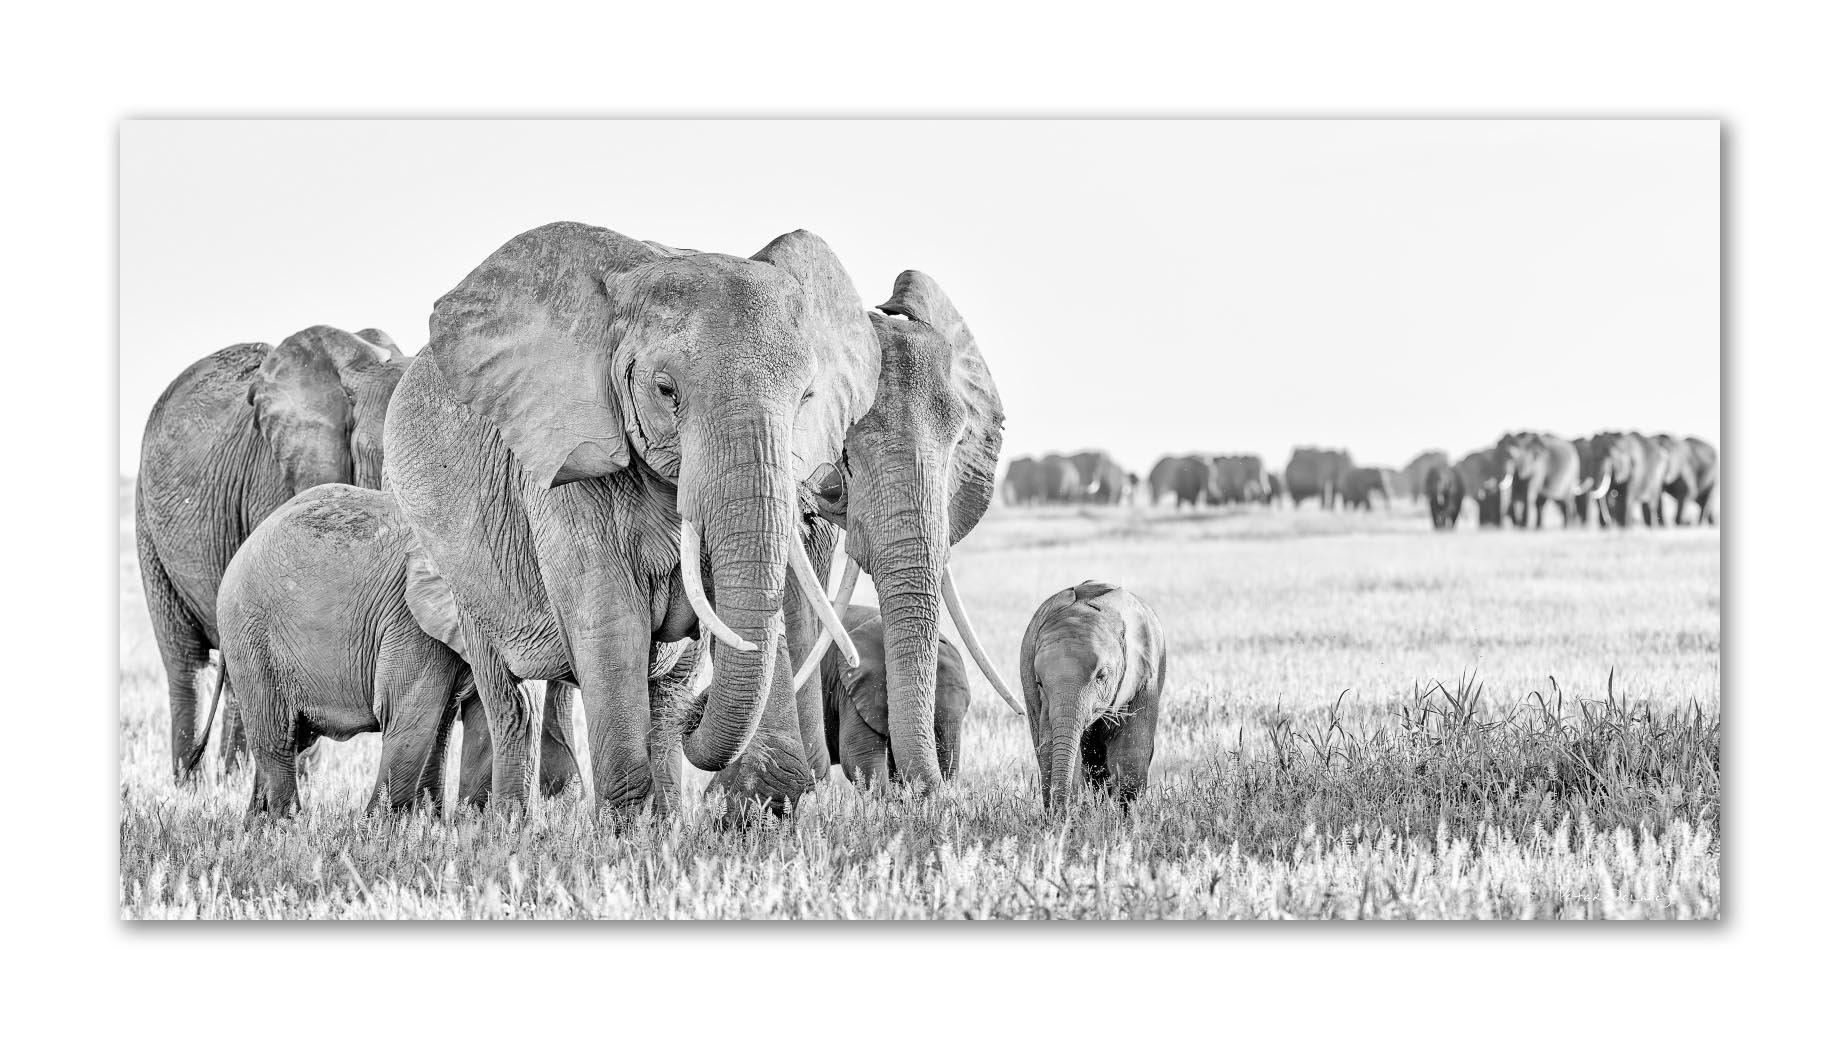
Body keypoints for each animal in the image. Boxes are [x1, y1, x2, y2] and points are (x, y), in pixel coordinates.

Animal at [382, 222, 879, 818]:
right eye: (666, 390)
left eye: (807, 397)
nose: (699, 717)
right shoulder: (566, 454)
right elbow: (610, 617)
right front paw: (627, 824)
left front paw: (759, 798)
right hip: (463, 577)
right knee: (512, 699)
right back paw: (510, 823)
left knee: (663, 696)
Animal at [1020, 581, 1166, 811]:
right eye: (1039, 683)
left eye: (1101, 676)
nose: (1059, 814)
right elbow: (1051, 747)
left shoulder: (1144, 678)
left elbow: (1131, 753)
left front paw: (1126, 816)